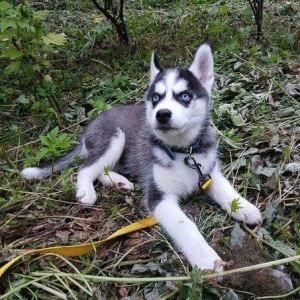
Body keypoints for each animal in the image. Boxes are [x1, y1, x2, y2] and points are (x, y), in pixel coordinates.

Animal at [21, 44, 262, 272]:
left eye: (184, 96)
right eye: (155, 98)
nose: (162, 114)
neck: (183, 152)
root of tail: (92, 124)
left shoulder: (207, 172)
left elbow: (225, 189)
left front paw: (244, 207)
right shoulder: (158, 198)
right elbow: (185, 225)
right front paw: (207, 259)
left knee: (102, 170)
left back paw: (119, 182)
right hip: (114, 137)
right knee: (86, 168)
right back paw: (87, 191)